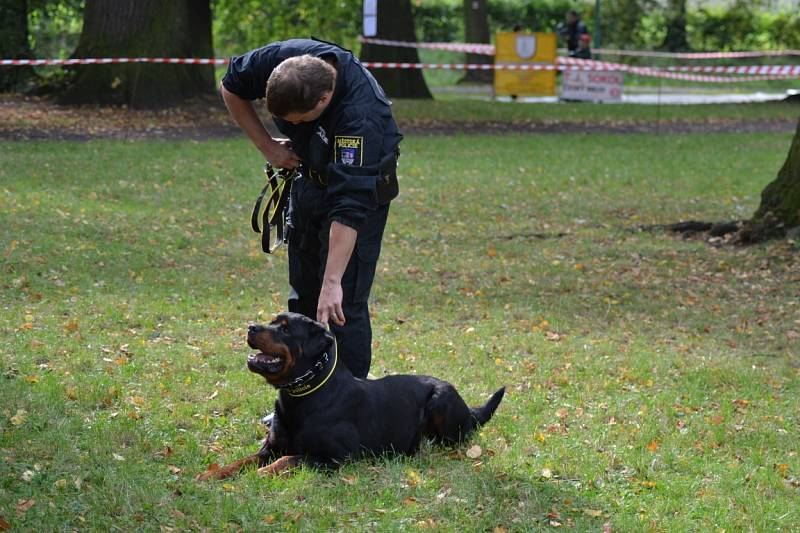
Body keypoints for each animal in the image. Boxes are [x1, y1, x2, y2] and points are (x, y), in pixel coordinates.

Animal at [197, 310, 504, 480]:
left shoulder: (336, 457)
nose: (251, 327)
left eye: (285, 329)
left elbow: (289, 459)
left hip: (442, 400)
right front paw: (213, 473)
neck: (302, 397)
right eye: (272, 322)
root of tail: (468, 409)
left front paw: (262, 474)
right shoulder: (270, 448)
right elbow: (242, 460)